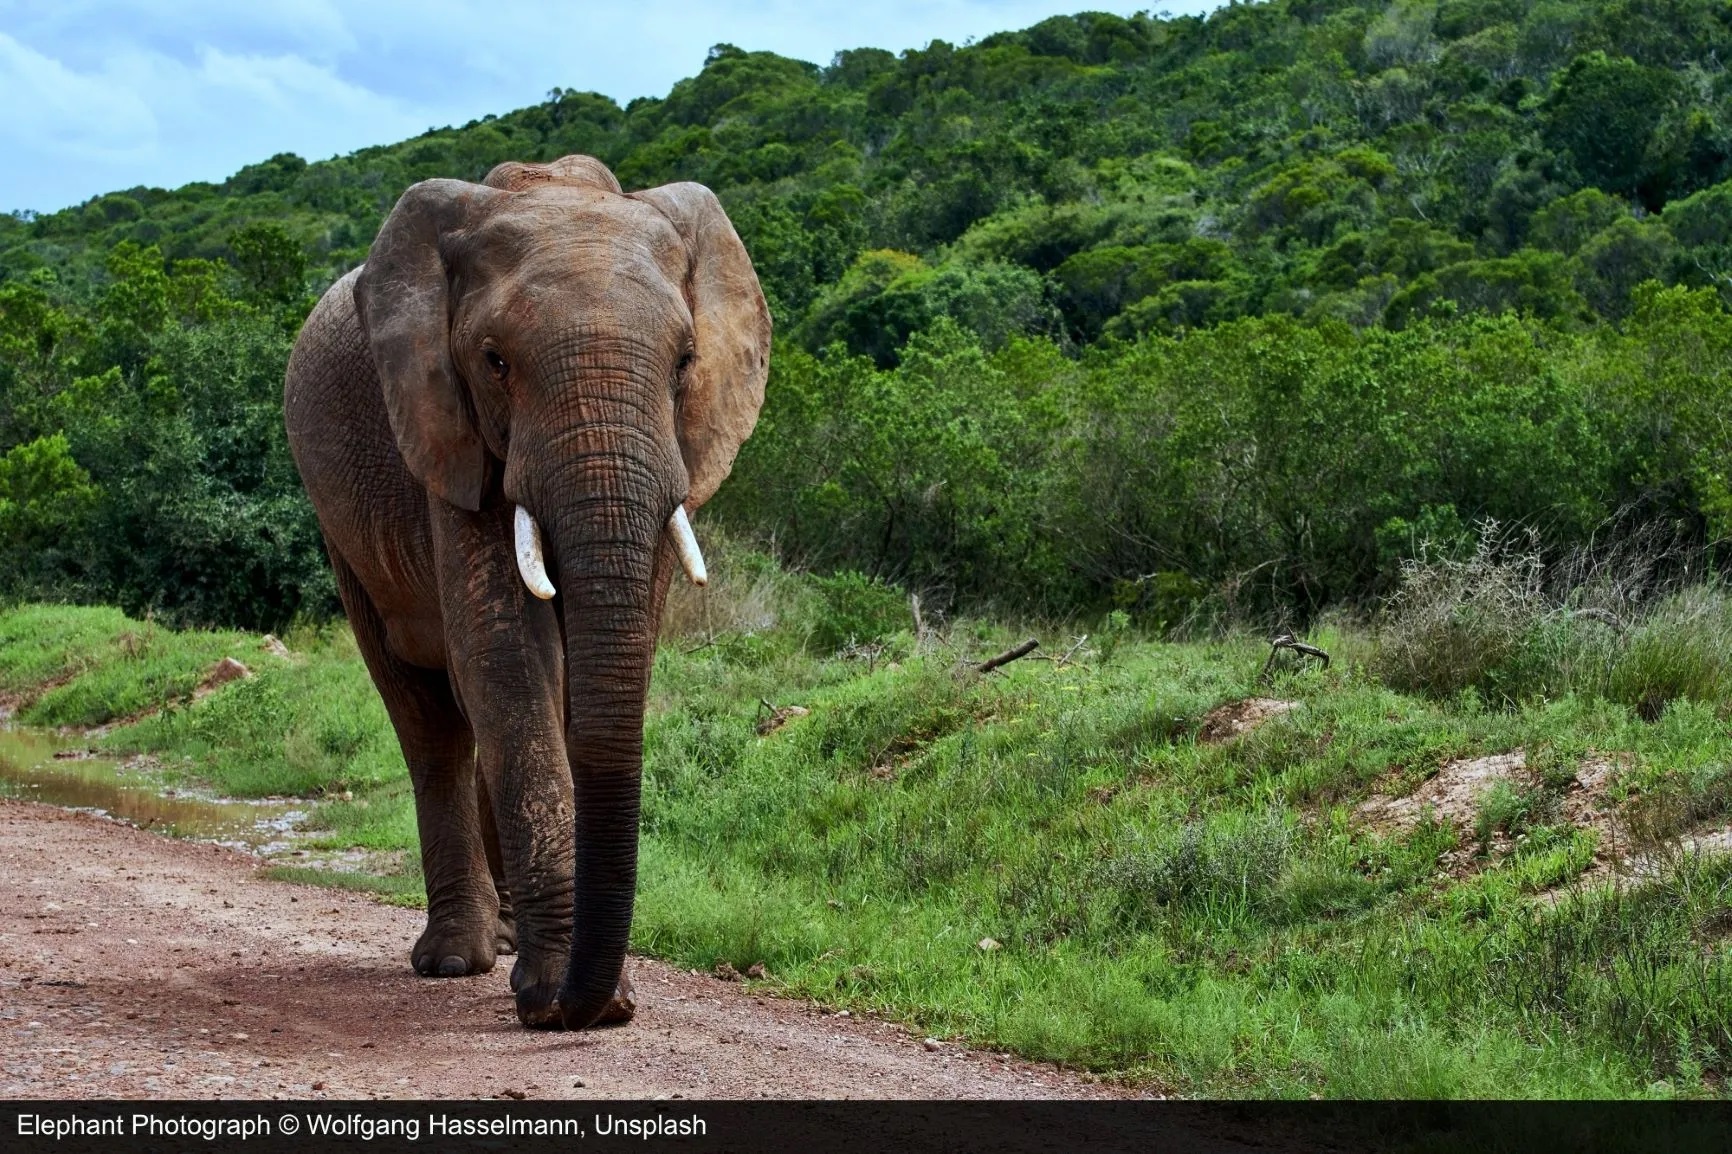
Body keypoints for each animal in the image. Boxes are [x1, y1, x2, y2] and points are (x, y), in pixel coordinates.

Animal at [282, 154, 770, 1029]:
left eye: (685, 362)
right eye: (495, 362)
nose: (579, 1008)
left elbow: (588, 673)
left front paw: (584, 995)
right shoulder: (447, 433)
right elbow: (510, 660)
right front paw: (559, 996)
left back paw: (501, 942)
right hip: (341, 530)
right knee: (428, 721)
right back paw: (455, 960)